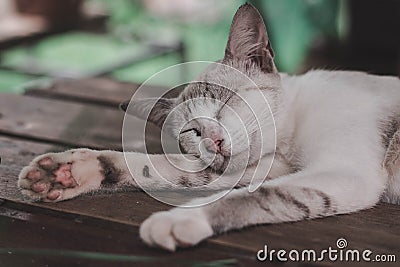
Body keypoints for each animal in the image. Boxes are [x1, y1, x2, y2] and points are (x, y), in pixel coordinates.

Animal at [17, 3, 398, 252]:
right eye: (192, 133)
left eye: (225, 103)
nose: (214, 140)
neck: (287, 142)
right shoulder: (266, 168)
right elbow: (162, 166)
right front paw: (69, 172)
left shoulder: (344, 171)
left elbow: (256, 196)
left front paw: (178, 221)